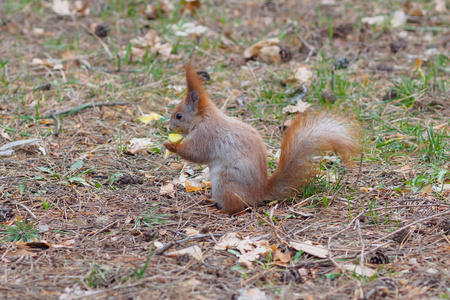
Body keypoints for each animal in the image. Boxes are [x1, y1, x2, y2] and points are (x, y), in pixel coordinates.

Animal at [163, 63, 360, 213]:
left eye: (179, 116)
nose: (169, 128)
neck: (204, 118)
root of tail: (260, 192)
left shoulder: (206, 135)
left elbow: (196, 153)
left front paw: (170, 145)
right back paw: (209, 200)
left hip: (225, 183)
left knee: (236, 207)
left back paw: (218, 209)